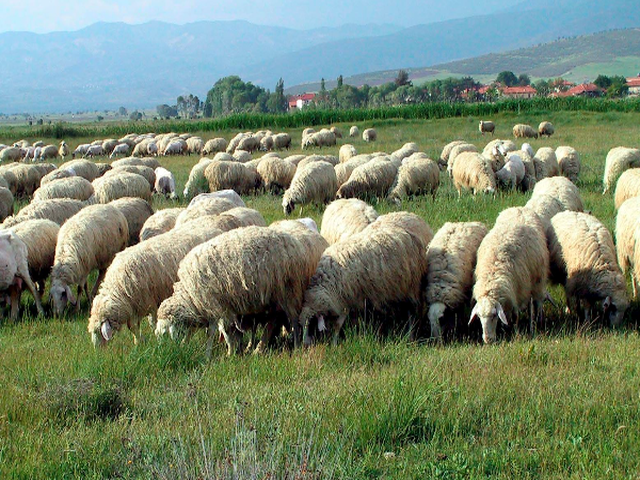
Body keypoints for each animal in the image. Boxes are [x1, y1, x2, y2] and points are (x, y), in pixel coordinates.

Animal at [88, 218, 227, 346]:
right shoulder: (134, 305)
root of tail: (217, 230)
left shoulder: (150, 301)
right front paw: (138, 342)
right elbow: (133, 327)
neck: (119, 286)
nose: (98, 352)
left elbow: (149, 323)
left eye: (99, 333)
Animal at [155, 223, 327, 355]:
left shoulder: (215, 306)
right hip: (274, 297)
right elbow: (226, 331)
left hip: (289, 292)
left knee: (294, 320)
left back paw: (296, 345)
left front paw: (221, 353)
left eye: (165, 332)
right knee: (274, 320)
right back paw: (259, 347)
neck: (190, 296)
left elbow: (218, 331)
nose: (171, 349)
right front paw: (234, 349)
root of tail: (295, 244)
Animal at [301, 220, 429, 346]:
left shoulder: (346, 298)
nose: (305, 346)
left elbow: (338, 325)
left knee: (413, 313)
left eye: (311, 325)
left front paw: (334, 344)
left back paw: (411, 337)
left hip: (413, 287)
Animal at [470, 207, 549, 343]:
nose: (488, 340)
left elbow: (516, 315)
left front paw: (516, 331)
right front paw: (504, 328)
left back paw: (535, 323)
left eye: (494, 315)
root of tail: (519, 208)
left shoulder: (518, 291)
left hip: (536, 280)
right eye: (479, 316)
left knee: (535, 303)